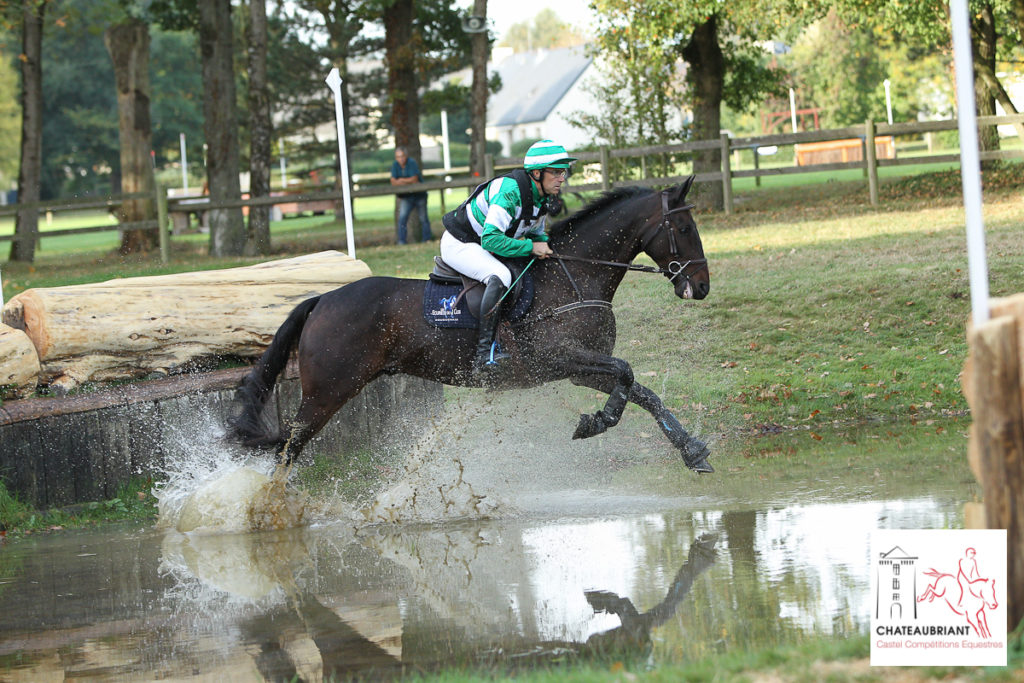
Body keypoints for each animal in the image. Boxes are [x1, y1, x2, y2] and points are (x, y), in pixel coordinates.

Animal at [230, 176, 712, 475]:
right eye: (685, 227)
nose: (703, 286)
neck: (576, 274)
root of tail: (322, 299)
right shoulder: (562, 357)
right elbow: (627, 375)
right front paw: (598, 422)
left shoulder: (580, 368)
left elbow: (640, 391)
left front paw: (691, 450)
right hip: (327, 392)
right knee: (287, 449)